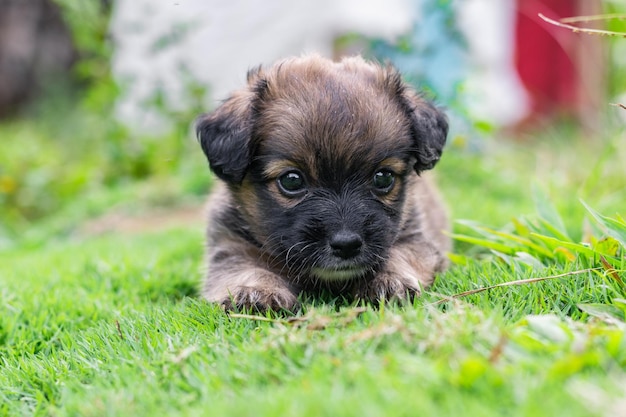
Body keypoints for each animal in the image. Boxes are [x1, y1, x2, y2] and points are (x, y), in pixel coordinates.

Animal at [195, 53, 448, 310]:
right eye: (292, 181)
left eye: (383, 177)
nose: (346, 244)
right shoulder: (230, 245)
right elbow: (246, 266)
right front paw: (256, 291)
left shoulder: (416, 237)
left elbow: (399, 254)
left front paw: (390, 280)